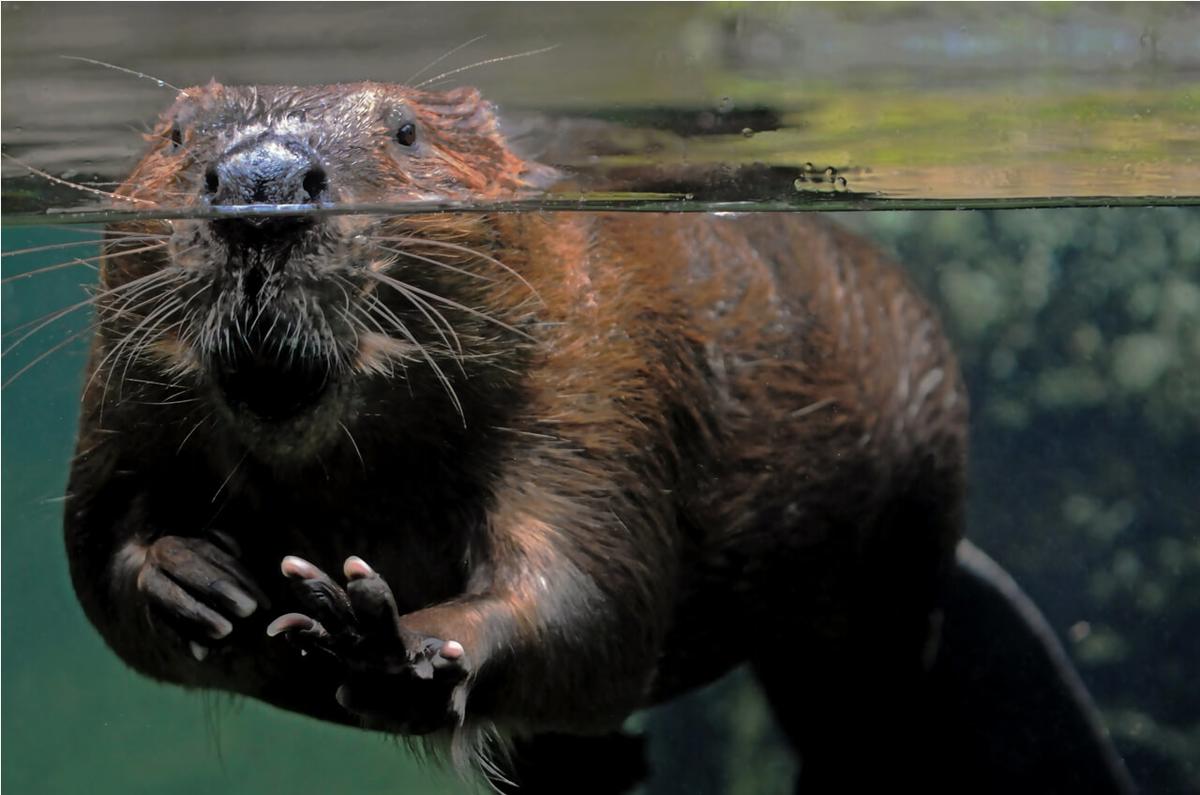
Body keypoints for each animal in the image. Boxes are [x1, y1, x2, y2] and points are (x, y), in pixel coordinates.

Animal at [65, 82, 1132, 795]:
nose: (263, 182)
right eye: (175, 133)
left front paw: (388, 635)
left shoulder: (593, 369)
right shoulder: (120, 389)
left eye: (404, 128)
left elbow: (592, 596)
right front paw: (196, 578)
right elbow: (95, 547)